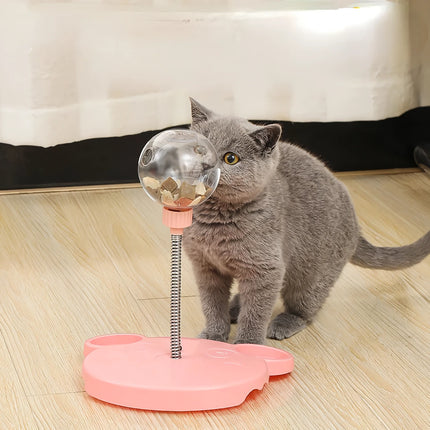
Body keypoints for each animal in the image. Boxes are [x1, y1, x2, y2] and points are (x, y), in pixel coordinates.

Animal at [182, 98, 430, 346]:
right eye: (199, 149)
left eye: (230, 158)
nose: (204, 166)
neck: (214, 223)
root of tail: (357, 226)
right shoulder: (205, 266)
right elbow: (212, 305)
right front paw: (213, 336)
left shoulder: (266, 270)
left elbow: (256, 312)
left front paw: (248, 344)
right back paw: (234, 308)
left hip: (311, 274)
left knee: (304, 307)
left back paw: (284, 323)